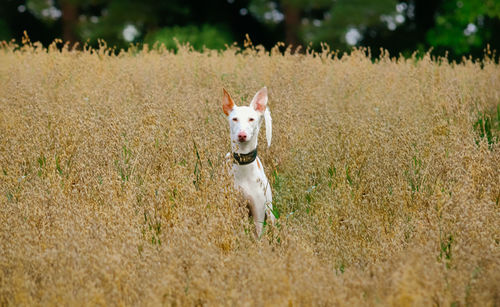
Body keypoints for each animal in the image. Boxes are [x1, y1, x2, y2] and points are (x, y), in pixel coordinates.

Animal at [223, 88, 276, 237]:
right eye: (234, 119)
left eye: (251, 119)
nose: (242, 135)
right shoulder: (231, 208)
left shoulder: (258, 213)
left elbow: (258, 236)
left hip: (270, 211)